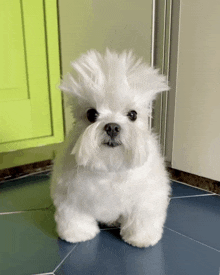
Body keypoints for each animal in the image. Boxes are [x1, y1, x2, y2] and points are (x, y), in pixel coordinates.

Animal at [50, 49, 171, 250]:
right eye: (92, 114)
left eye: (132, 114)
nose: (112, 126)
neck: (110, 168)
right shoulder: (72, 197)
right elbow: (74, 218)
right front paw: (77, 235)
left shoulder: (145, 198)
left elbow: (141, 219)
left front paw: (141, 238)